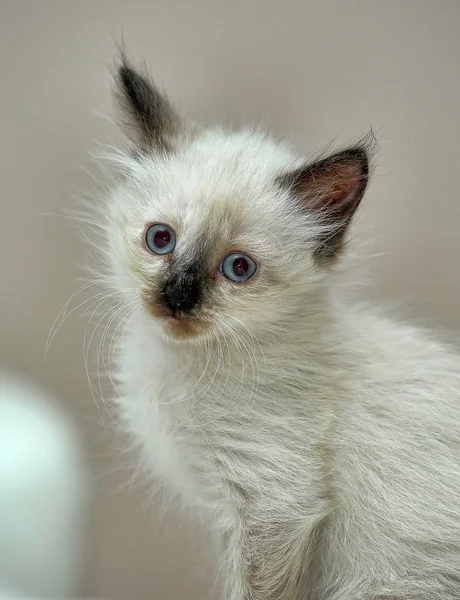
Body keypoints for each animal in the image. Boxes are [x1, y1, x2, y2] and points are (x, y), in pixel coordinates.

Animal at [92, 54, 460, 596]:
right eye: (160, 240)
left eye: (238, 268)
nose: (177, 297)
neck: (181, 367)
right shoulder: (232, 514)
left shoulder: (273, 503)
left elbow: (255, 590)